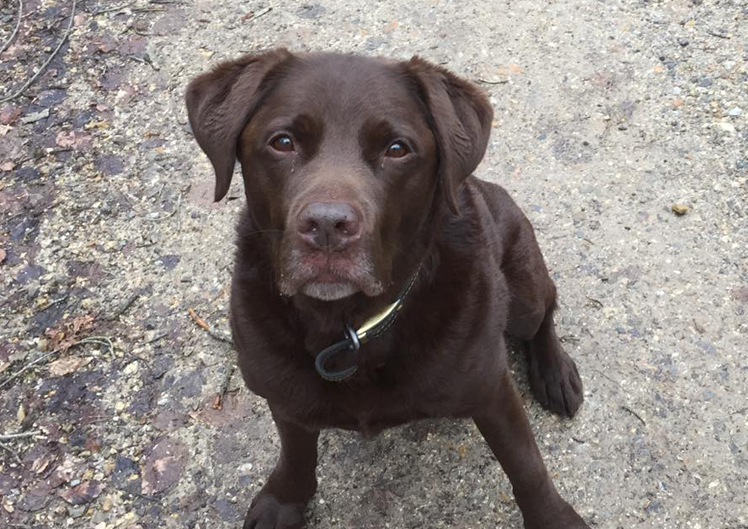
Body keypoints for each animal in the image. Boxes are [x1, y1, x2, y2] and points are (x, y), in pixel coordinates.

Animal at [187, 50, 592, 528]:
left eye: (397, 149)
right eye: (282, 142)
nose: (327, 226)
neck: (350, 325)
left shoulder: (492, 390)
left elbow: (526, 464)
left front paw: (553, 517)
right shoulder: (283, 395)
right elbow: (295, 454)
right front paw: (283, 501)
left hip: (523, 291)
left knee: (544, 311)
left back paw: (555, 373)